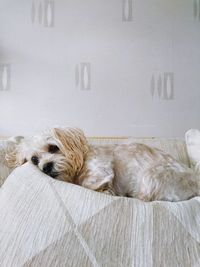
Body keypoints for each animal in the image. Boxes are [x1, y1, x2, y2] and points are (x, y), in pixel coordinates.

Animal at [5, 127, 200, 201]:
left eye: (53, 148)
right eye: (34, 160)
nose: (45, 167)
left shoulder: (100, 169)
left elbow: (89, 183)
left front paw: (106, 190)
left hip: (151, 176)